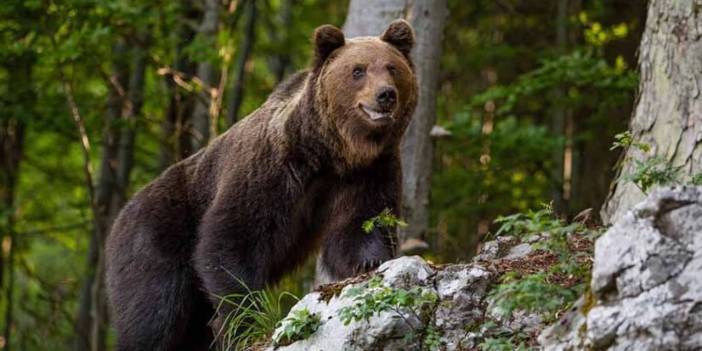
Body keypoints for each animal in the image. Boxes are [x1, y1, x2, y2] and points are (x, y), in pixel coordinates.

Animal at [104, 20, 418, 351]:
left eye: (392, 67)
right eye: (358, 70)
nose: (386, 94)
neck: (331, 152)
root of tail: (120, 217)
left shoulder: (367, 172)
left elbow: (362, 221)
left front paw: (370, 261)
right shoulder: (270, 170)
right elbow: (231, 239)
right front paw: (249, 317)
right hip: (156, 238)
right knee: (155, 313)